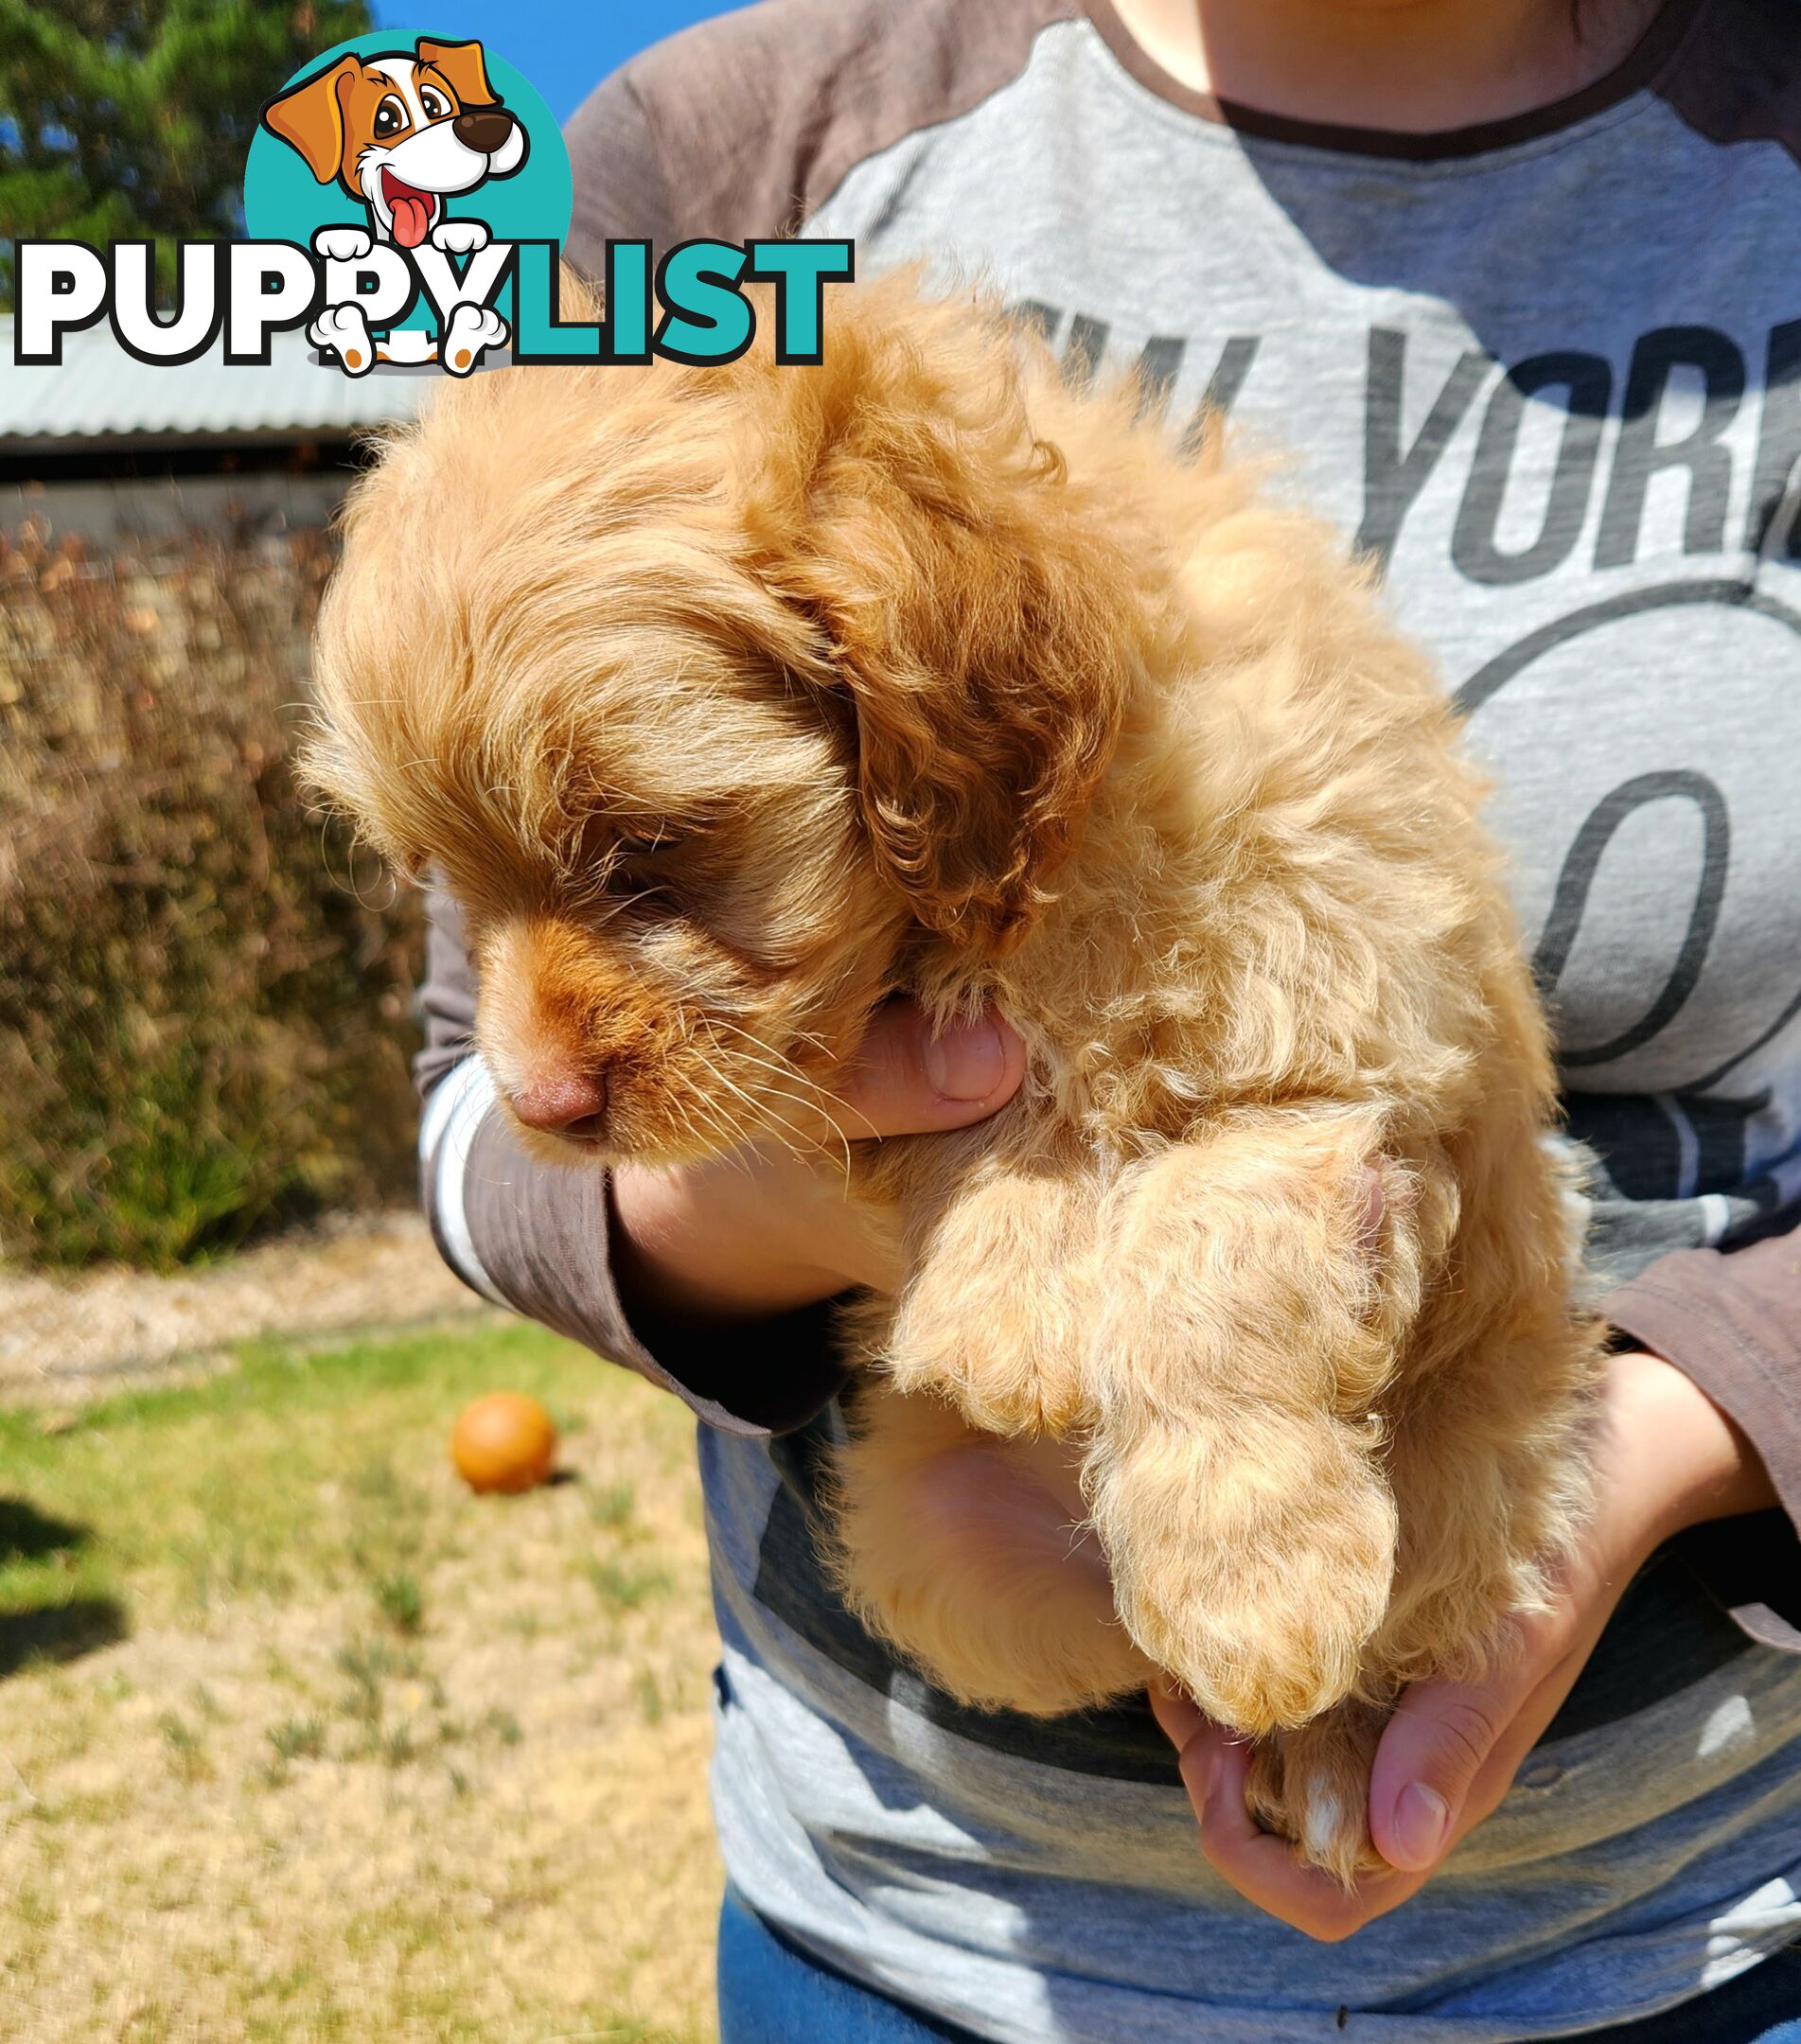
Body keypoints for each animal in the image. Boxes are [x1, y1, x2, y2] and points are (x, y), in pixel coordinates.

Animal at [307, 267, 1602, 1880]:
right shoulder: (882, 1057)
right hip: (933, 1546)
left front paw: (1250, 1585)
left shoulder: (1349, 1056)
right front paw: (1010, 1310)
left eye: (646, 848)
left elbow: (1205, 1254)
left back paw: (1314, 1739)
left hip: (1479, 1475)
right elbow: (976, 1108)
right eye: (449, 889)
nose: (540, 1109)